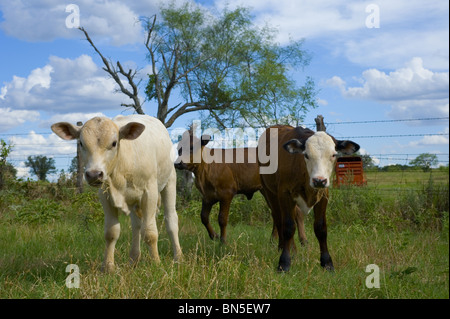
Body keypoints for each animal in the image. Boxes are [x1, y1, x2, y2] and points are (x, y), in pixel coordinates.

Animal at [53, 115, 184, 272]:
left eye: (114, 143)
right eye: (81, 143)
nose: (94, 174)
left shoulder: (149, 192)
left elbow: (150, 233)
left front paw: (156, 264)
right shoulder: (105, 196)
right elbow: (111, 232)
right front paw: (108, 267)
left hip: (170, 181)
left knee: (171, 220)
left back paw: (178, 257)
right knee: (136, 226)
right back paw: (133, 259)